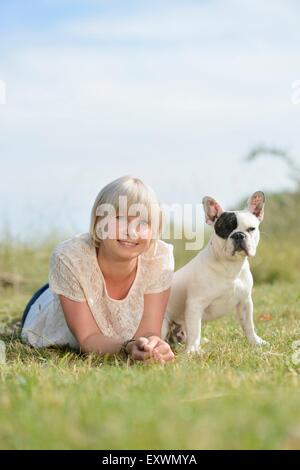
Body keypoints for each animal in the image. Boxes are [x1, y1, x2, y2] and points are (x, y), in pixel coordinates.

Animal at [163, 191, 268, 352]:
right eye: (225, 229)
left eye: (251, 229)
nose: (238, 235)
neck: (230, 266)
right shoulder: (195, 304)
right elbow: (195, 329)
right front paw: (193, 350)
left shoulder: (245, 302)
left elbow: (249, 325)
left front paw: (255, 342)